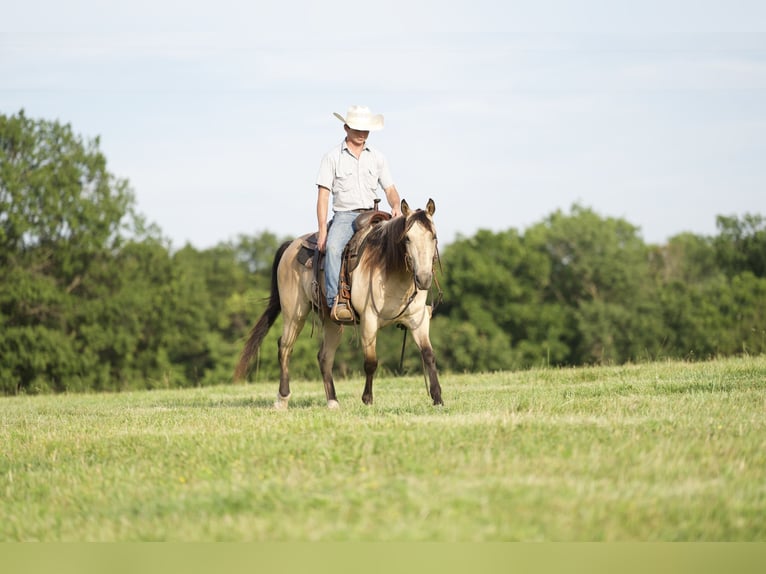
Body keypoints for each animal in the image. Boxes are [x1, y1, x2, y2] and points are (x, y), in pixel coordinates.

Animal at [233, 198, 443, 409]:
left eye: (434, 236)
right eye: (407, 238)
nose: (424, 278)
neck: (389, 268)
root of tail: (292, 245)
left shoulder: (418, 319)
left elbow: (429, 354)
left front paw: (437, 397)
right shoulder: (369, 320)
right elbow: (371, 362)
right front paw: (367, 399)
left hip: (331, 321)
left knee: (324, 357)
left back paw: (333, 401)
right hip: (294, 313)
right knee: (285, 347)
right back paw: (282, 398)